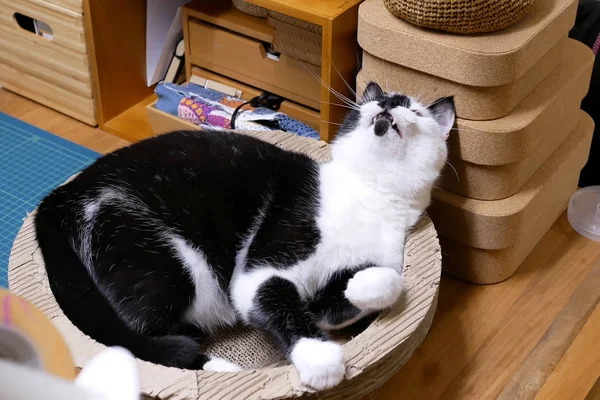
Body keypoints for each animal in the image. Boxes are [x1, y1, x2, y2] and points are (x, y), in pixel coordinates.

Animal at [34, 82, 454, 390]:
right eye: (378, 101)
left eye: (414, 110)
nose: (389, 102)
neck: (370, 195)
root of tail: (61, 196)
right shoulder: (263, 266)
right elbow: (278, 300)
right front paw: (320, 359)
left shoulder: (366, 270)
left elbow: (383, 283)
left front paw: (359, 287)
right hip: (162, 262)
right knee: (135, 338)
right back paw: (216, 364)